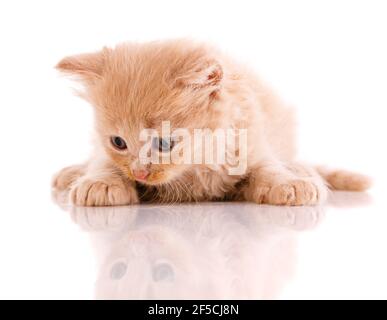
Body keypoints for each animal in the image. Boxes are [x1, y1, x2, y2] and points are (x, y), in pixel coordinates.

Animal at [51, 38, 370, 206]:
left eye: (164, 143)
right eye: (118, 142)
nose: (140, 173)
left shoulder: (250, 141)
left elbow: (267, 168)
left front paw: (290, 182)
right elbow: (103, 162)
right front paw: (100, 183)